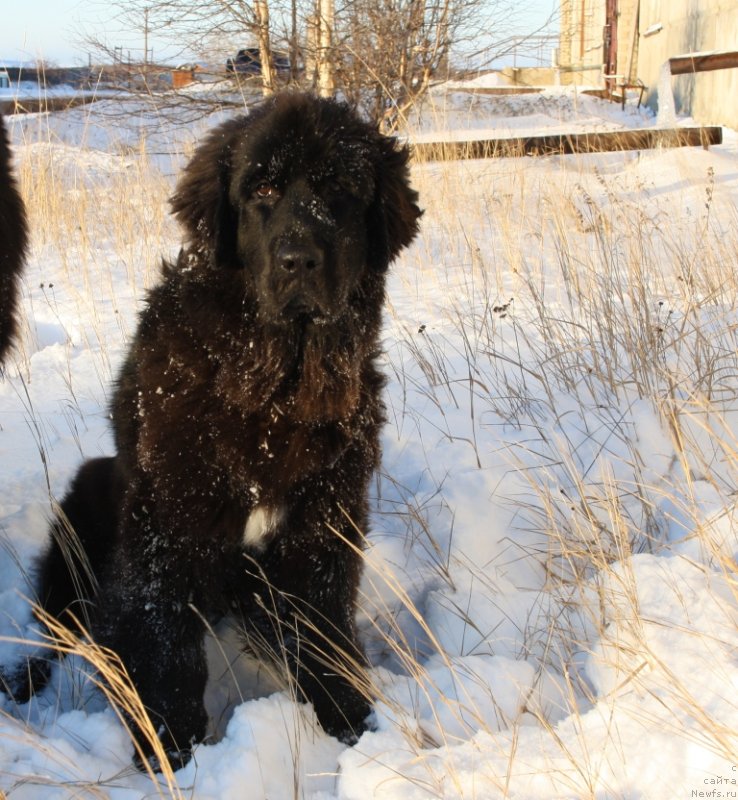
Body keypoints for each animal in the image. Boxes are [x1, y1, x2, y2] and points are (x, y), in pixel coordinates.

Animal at [8, 94, 420, 768]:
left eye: (340, 190)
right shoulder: (171, 519)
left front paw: (351, 724)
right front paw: (170, 746)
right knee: (55, 634)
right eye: (263, 188)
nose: (298, 260)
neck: (275, 387)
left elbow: (324, 631)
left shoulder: (323, 520)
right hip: (87, 506)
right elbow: (168, 639)